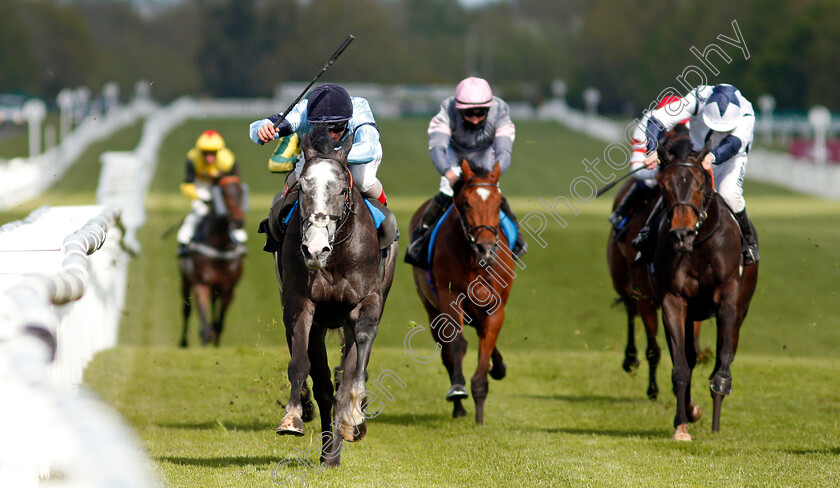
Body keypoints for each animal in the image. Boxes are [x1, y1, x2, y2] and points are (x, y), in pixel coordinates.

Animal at [177, 175, 243, 346]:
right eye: (223, 193)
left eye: (241, 191)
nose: (239, 221)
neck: (219, 247)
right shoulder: (202, 285)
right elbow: (204, 325)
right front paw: (206, 341)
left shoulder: (229, 289)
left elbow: (219, 323)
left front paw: (216, 342)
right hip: (186, 280)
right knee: (186, 310)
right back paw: (183, 342)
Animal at [272, 132, 398, 468]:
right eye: (303, 188)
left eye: (342, 189)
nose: (315, 250)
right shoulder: (300, 302)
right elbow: (300, 363)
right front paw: (293, 417)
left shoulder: (366, 301)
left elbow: (358, 359)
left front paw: (355, 415)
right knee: (324, 385)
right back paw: (327, 447)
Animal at [406, 159, 512, 424]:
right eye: (466, 203)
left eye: (499, 203)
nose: (487, 248)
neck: (475, 260)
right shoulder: (449, 298)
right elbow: (457, 345)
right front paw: (458, 389)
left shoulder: (495, 308)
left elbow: (486, 346)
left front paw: (480, 413)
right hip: (431, 309)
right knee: (446, 352)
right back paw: (458, 407)